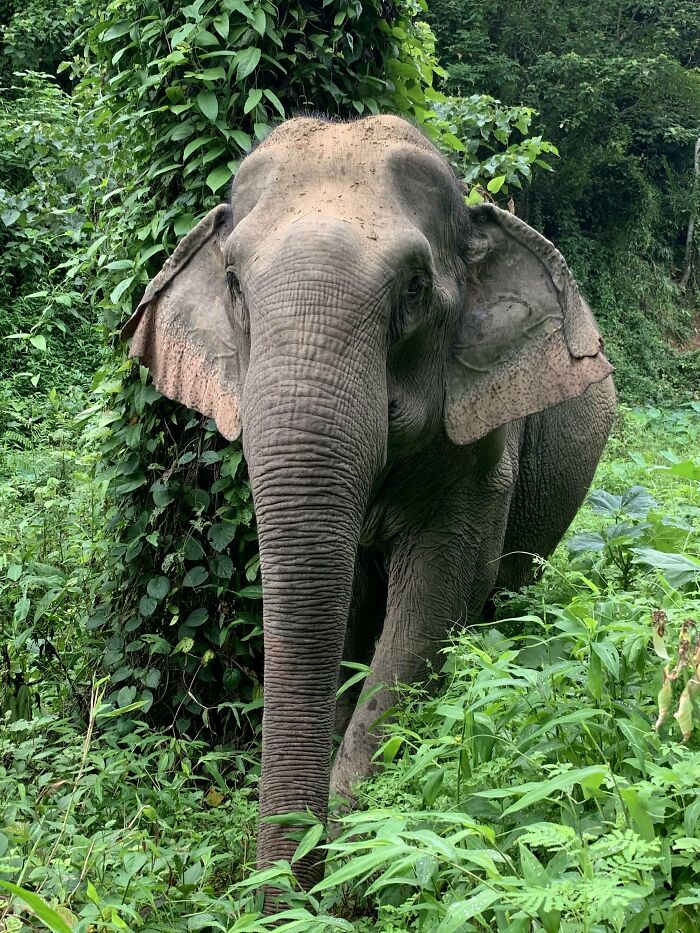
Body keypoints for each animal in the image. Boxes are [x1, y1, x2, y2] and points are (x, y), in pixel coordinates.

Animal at [123, 113, 616, 900]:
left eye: (414, 289)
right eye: (232, 283)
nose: (272, 901)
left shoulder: (483, 444)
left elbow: (438, 597)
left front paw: (357, 860)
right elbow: (346, 606)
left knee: (508, 594)